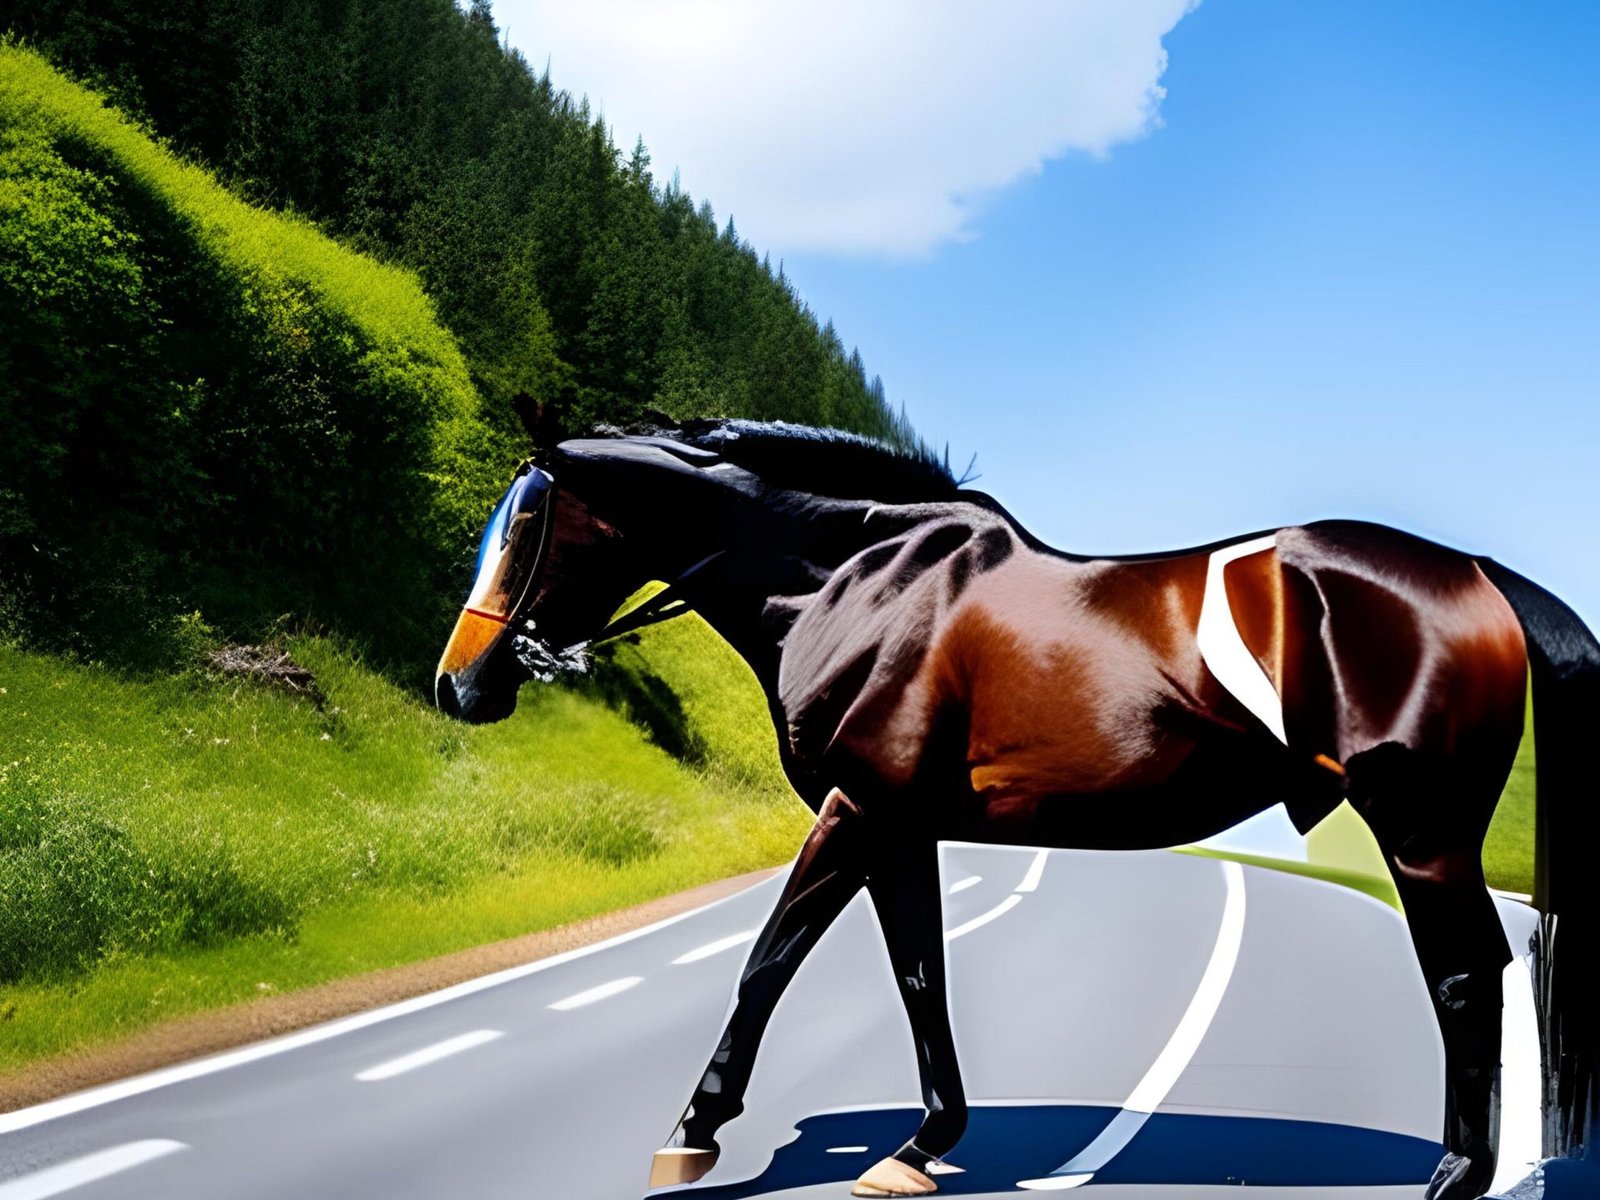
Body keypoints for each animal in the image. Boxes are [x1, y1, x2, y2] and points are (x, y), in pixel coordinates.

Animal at [433, 418, 1599, 1200]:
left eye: (526, 523)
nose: (459, 685)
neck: (854, 583)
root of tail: (1479, 575)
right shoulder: (898, 824)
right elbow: (917, 975)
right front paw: (920, 1145)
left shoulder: (854, 810)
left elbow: (769, 961)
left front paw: (695, 1127)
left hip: (1421, 832)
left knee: (1463, 973)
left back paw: (1455, 1175)